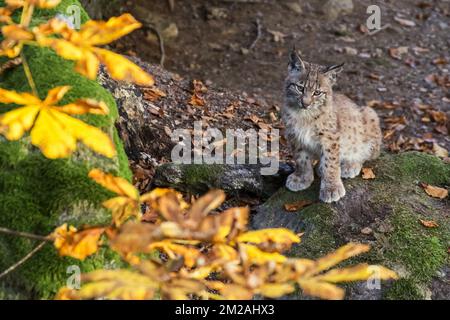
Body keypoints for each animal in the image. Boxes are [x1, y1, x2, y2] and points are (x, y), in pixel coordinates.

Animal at [284, 50, 382, 202]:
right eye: (300, 88)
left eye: (317, 93)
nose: (305, 104)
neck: (305, 115)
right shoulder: (294, 136)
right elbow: (301, 159)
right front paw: (302, 178)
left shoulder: (330, 137)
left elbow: (330, 162)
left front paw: (331, 188)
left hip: (369, 112)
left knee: (368, 152)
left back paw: (350, 165)